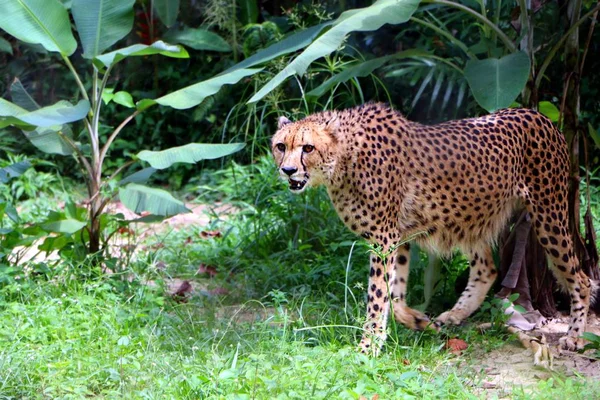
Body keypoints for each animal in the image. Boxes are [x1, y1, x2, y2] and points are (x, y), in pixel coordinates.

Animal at [274, 102, 600, 354]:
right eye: (281, 146)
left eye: (308, 148)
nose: (288, 170)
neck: (343, 157)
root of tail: (539, 114)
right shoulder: (399, 235)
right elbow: (394, 294)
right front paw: (416, 320)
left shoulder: (384, 237)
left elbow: (377, 296)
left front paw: (368, 346)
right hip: (472, 216)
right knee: (487, 269)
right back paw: (452, 316)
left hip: (548, 215)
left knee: (581, 279)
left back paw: (575, 337)